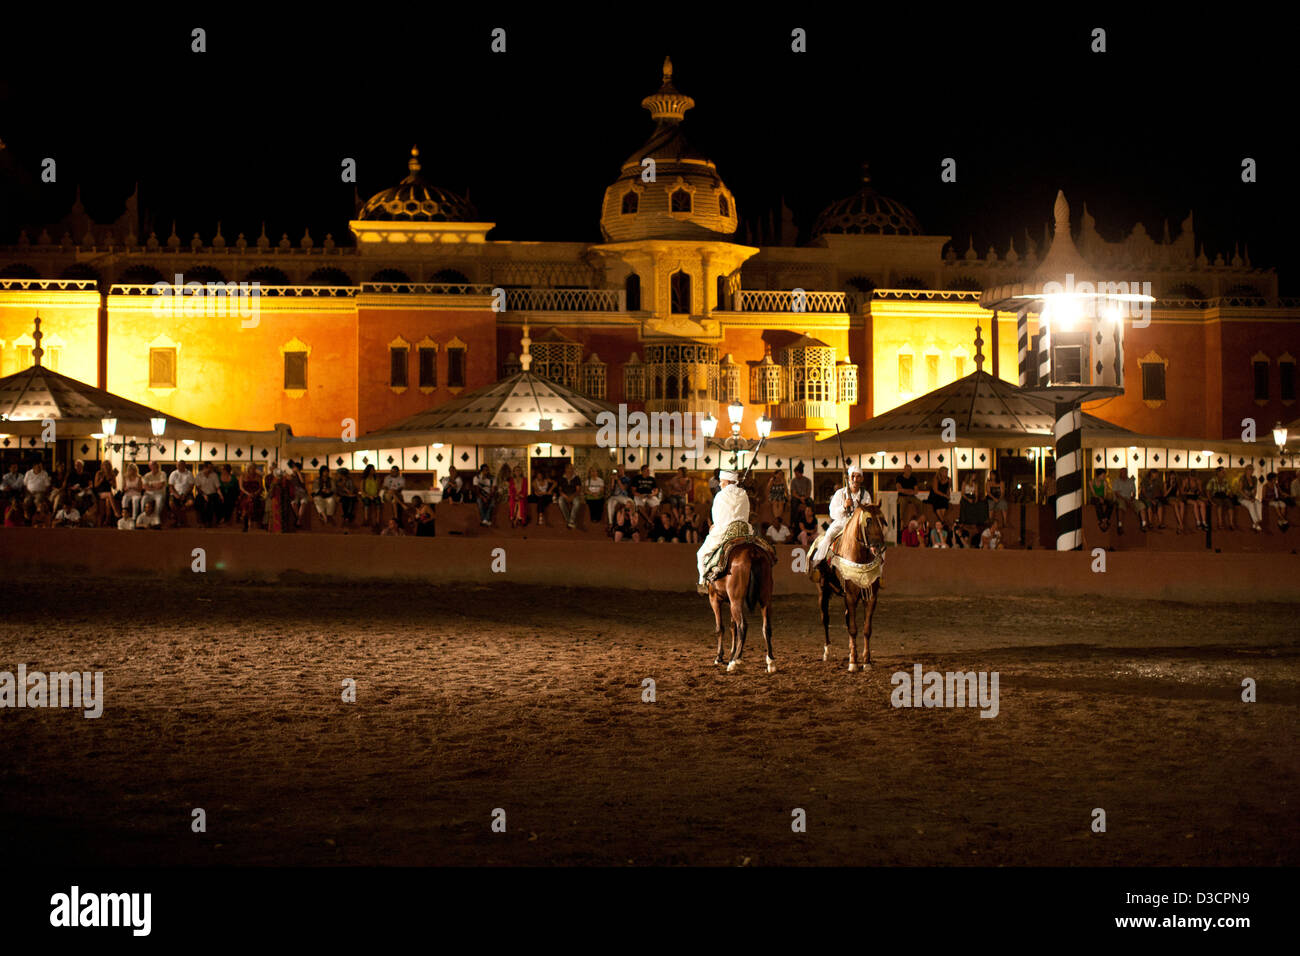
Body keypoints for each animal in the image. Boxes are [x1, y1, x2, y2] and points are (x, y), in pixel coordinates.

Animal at [707, 541, 774, 676]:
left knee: (743, 625)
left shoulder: (714, 598)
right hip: (765, 599)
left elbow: (720, 628)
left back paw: (734, 663)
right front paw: (732, 653)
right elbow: (733, 627)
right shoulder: (729, 602)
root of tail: (753, 552)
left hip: (736, 601)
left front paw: (719, 657)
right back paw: (770, 663)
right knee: (766, 627)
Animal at [816, 502, 889, 671]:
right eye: (868, 520)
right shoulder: (850, 596)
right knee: (825, 619)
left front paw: (866, 661)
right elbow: (853, 628)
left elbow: (866, 629)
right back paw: (827, 652)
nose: (879, 546)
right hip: (823, 591)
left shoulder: (870, 597)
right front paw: (853, 663)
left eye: (882, 520)